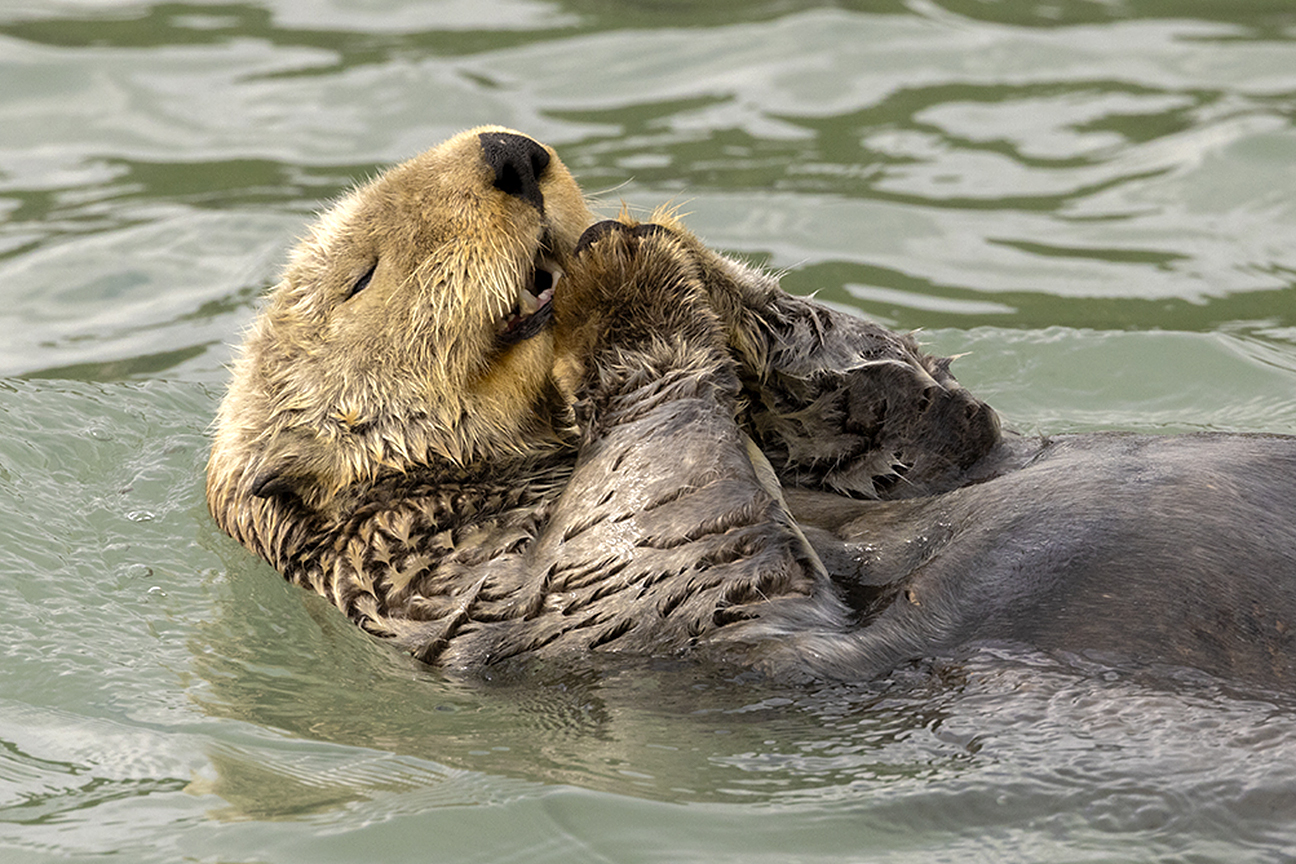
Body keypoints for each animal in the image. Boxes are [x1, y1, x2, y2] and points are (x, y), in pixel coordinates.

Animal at [204, 126, 1296, 689]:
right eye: (361, 275)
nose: (510, 153)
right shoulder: (460, 585)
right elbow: (665, 539)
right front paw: (625, 281)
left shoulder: (925, 445)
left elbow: (930, 417)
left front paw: (660, 240)